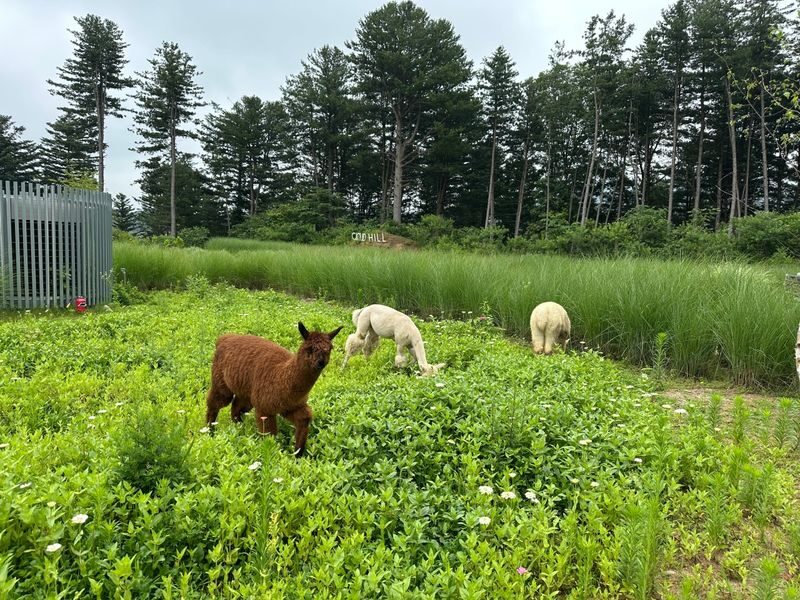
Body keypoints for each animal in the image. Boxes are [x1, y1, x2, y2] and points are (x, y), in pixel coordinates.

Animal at [205, 322, 342, 457]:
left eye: (330, 348)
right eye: (310, 348)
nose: (321, 362)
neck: (281, 377)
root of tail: (224, 338)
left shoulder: (291, 406)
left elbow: (304, 419)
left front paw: (297, 455)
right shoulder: (265, 409)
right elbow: (269, 437)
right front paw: (273, 456)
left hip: (246, 390)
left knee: (236, 406)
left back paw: (238, 428)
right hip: (221, 381)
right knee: (215, 402)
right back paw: (209, 431)